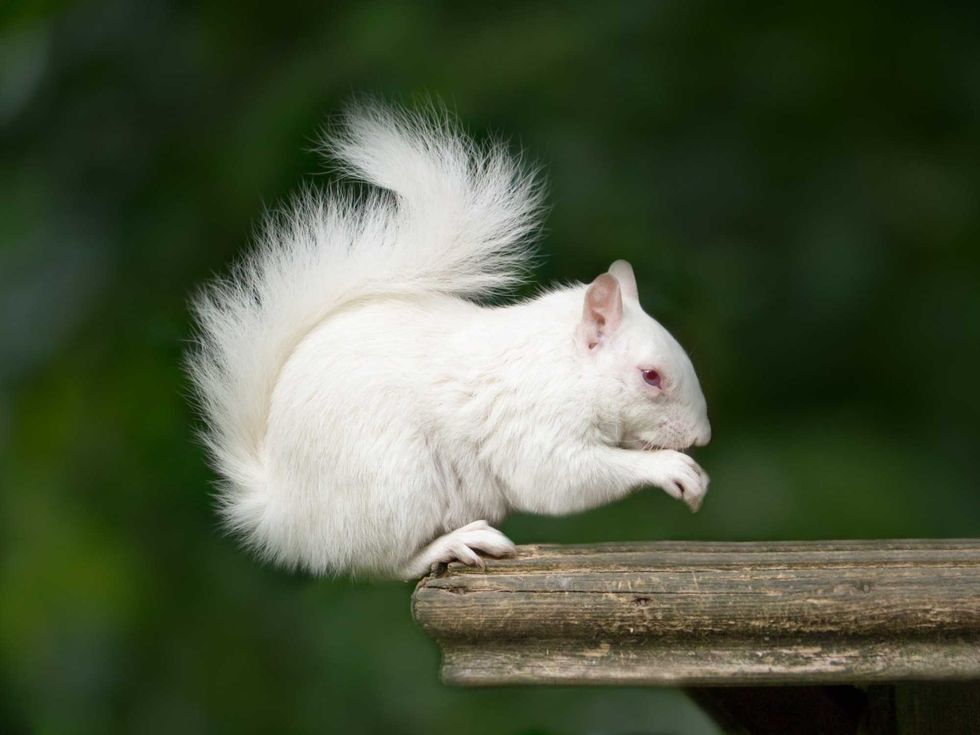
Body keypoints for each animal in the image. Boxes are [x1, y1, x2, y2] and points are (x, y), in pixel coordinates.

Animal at [188, 103, 711, 580]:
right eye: (650, 376)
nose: (701, 437)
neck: (563, 365)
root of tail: (285, 514)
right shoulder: (531, 423)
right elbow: (558, 478)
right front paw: (671, 469)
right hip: (396, 484)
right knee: (386, 563)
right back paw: (455, 544)